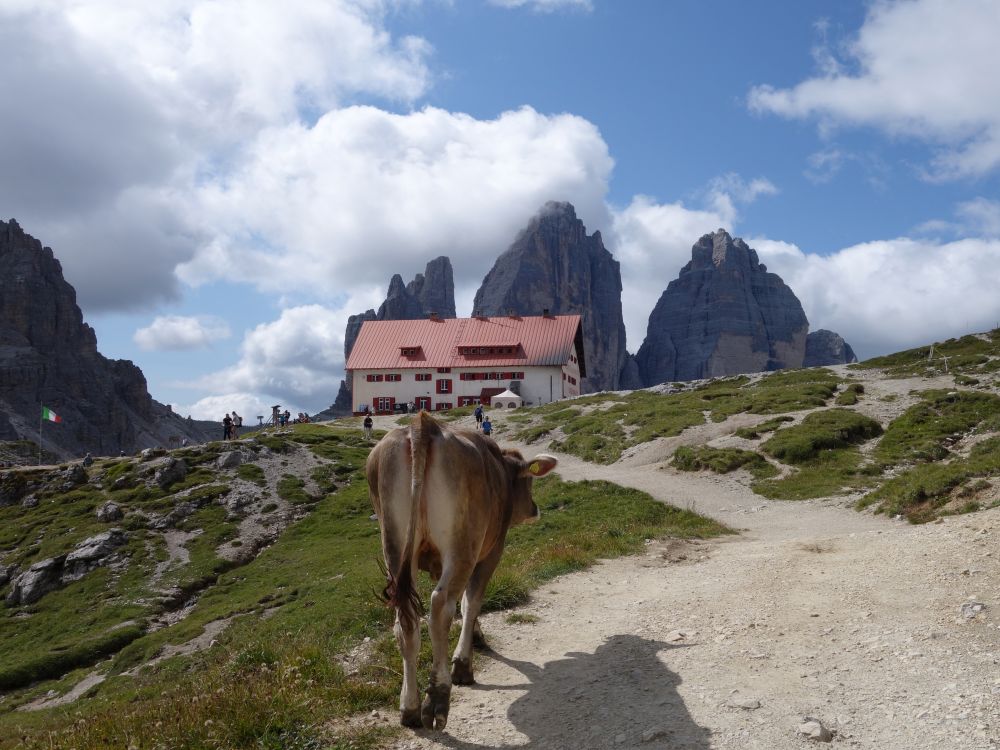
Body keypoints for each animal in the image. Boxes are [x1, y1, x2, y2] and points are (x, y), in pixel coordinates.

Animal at [368, 414, 560, 732]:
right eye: (529, 481)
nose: (535, 509)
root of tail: (423, 424)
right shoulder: (491, 550)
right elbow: (471, 601)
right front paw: (463, 661)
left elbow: (465, 604)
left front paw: (476, 636)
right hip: (462, 544)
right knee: (439, 607)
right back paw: (437, 699)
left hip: (394, 544)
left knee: (406, 620)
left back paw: (409, 707)